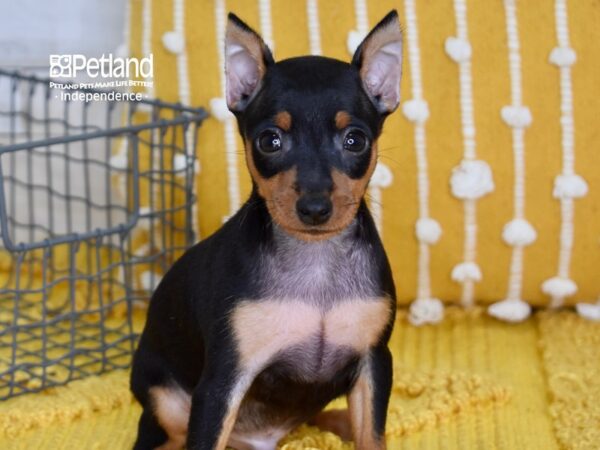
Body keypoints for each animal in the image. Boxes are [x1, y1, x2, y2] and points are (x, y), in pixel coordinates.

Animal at [131, 9, 404, 450]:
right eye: (270, 141)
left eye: (355, 140)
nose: (314, 208)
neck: (315, 258)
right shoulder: (222, 381)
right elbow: (204, 437)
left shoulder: (374, 363)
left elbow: (372, 437)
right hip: (166, 404)